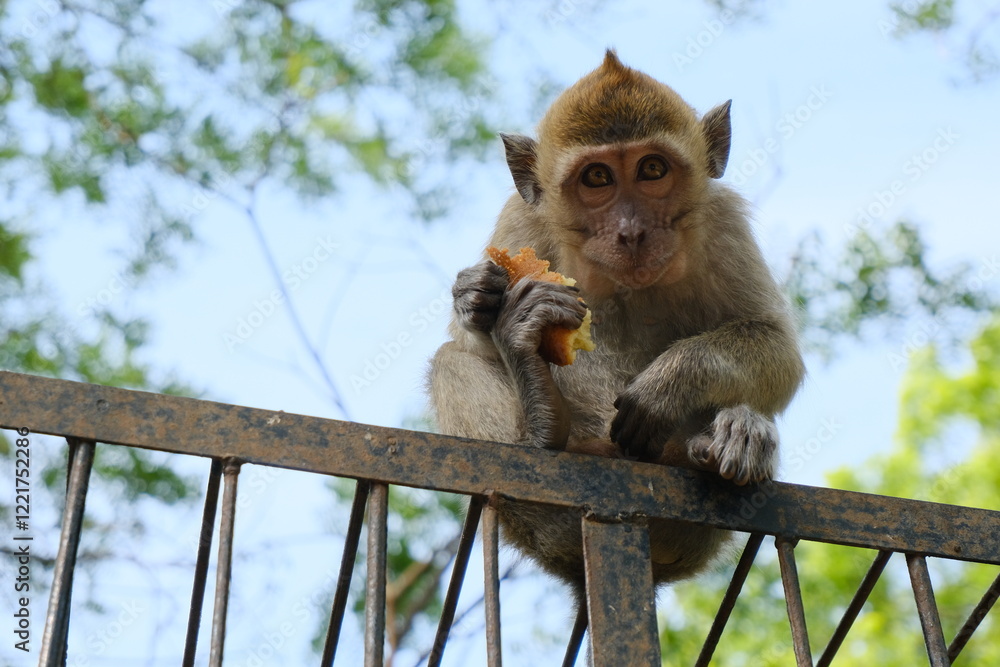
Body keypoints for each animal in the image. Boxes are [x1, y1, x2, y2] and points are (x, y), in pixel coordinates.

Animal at [428, 50, 804, 598]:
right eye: (597, 178)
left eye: (652, 169)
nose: (631, 232)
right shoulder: (520, 222)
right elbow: (468, 343)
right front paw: (478, 296)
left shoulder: (722, 221)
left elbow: (776, 347)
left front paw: (666, 385)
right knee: (451, 362)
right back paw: (539, 428)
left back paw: (735, 440)